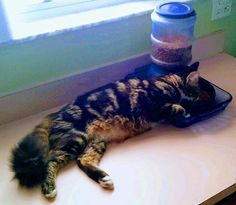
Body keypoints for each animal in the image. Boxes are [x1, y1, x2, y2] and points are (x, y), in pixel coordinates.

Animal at [10, 62, 209, 199]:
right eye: (196, 93)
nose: (199, 99)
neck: (170, 83)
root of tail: (56, 113)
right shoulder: (151, 104)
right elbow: (173, 107)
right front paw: (184, 110)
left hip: (95, 143)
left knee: (82, 161)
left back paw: (104, 179)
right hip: (75, 138)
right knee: (51, 161)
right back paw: (49, 188)